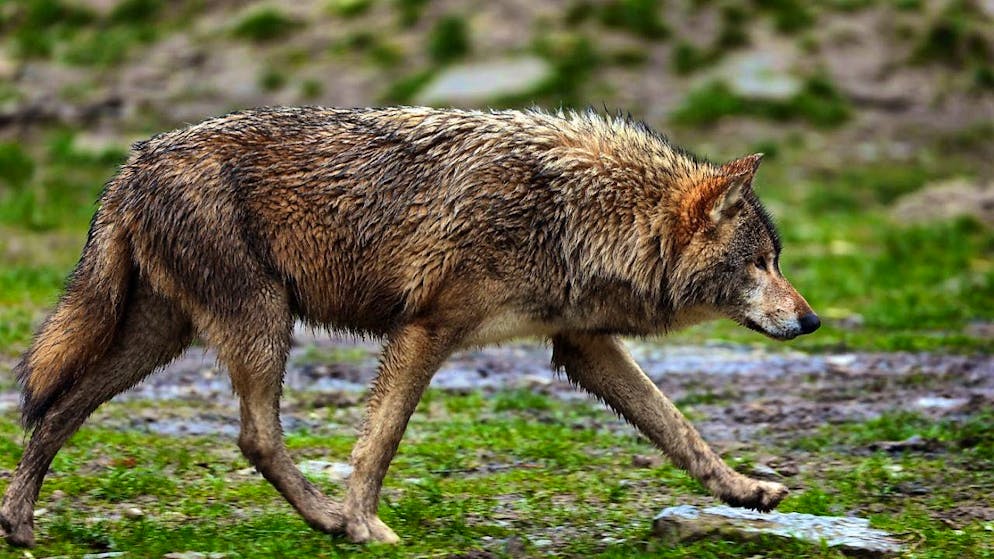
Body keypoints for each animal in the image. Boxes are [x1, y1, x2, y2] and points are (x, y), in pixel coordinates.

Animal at [0, 106, 816, 548]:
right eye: (763, 262)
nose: (811, 319)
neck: (576, 211)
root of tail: (130, 163)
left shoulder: (581, 345)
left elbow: (680, 428)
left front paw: (746, 490)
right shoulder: (427, 329)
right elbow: (380, 443)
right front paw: (364, 525)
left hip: (162, 338)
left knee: (57, 409)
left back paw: (20, 524)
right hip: (261, 322)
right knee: (254, 436)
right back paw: (329, 521)